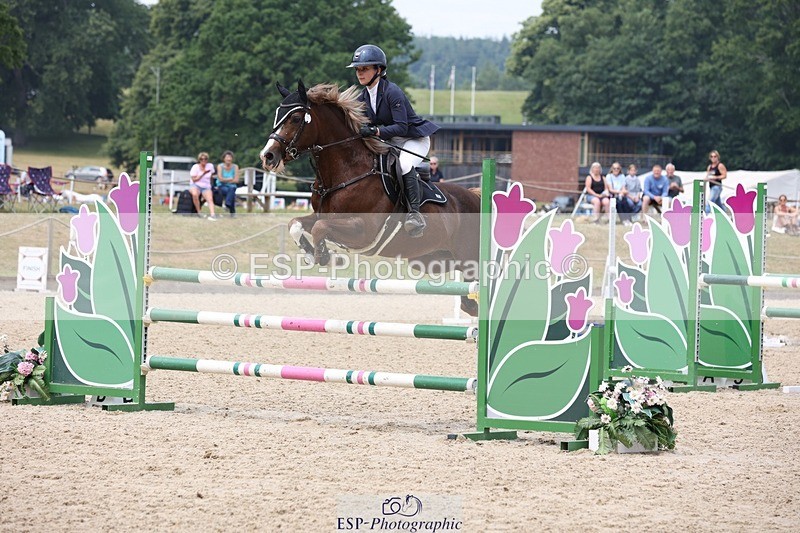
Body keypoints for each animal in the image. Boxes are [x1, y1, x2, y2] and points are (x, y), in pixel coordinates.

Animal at [259, 80, 481, 315]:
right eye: (277, 114)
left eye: (295, 118)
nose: (267, 156)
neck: (347, 171)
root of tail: (474, 196)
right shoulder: (323, 216)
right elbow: (296, 224)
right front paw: (316, 254)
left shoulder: (363, 230)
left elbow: (320, 228)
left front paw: (328, 257)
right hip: (432, 259)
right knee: (466, 292)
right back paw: (470, 305)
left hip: (468, 255)